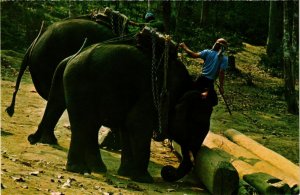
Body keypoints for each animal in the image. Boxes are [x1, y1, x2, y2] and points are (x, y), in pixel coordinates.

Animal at [29, 26, 213, 184]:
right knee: (83, 124)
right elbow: (137, 124)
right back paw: (80, 169)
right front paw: (144, 179)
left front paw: (126, 173)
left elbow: (127, 127)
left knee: (90, 126)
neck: (186, 84)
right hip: (79, 84)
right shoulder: (150, 94)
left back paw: (97, 168)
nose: (166, 171)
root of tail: (72, 57)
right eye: (198, 125)